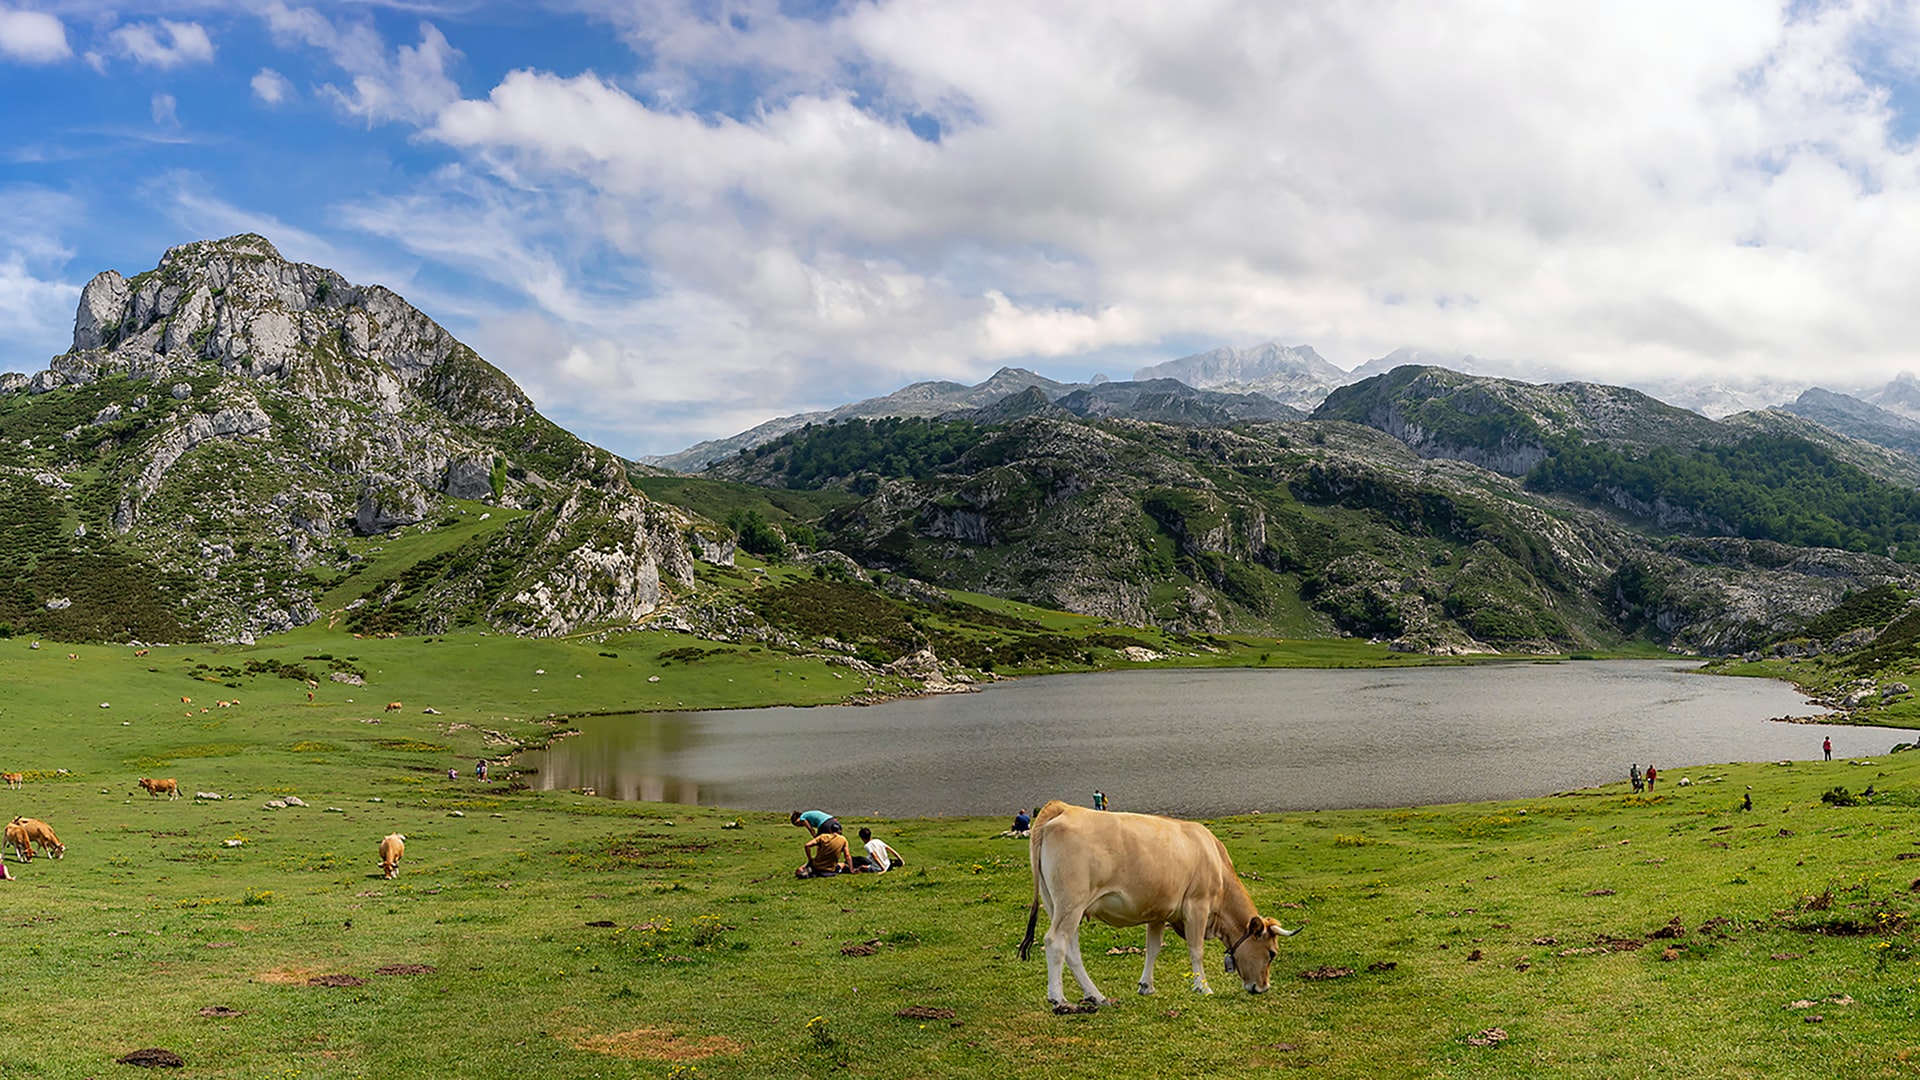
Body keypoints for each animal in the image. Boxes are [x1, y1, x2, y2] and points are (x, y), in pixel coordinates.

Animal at [1013, 795, 1297, 1006]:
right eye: (1271, 953)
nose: (1263, 987)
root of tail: (1063, 807)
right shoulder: (1197, 904)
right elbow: (1196, 950)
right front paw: (1203, 987)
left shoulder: (1159, 912)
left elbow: (1153, 949)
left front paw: (1146, 986)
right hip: (1071, 902)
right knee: (1055, 942)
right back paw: (1058, 999)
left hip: (1058, 905)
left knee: (1071, 950)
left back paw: (1095, 995)